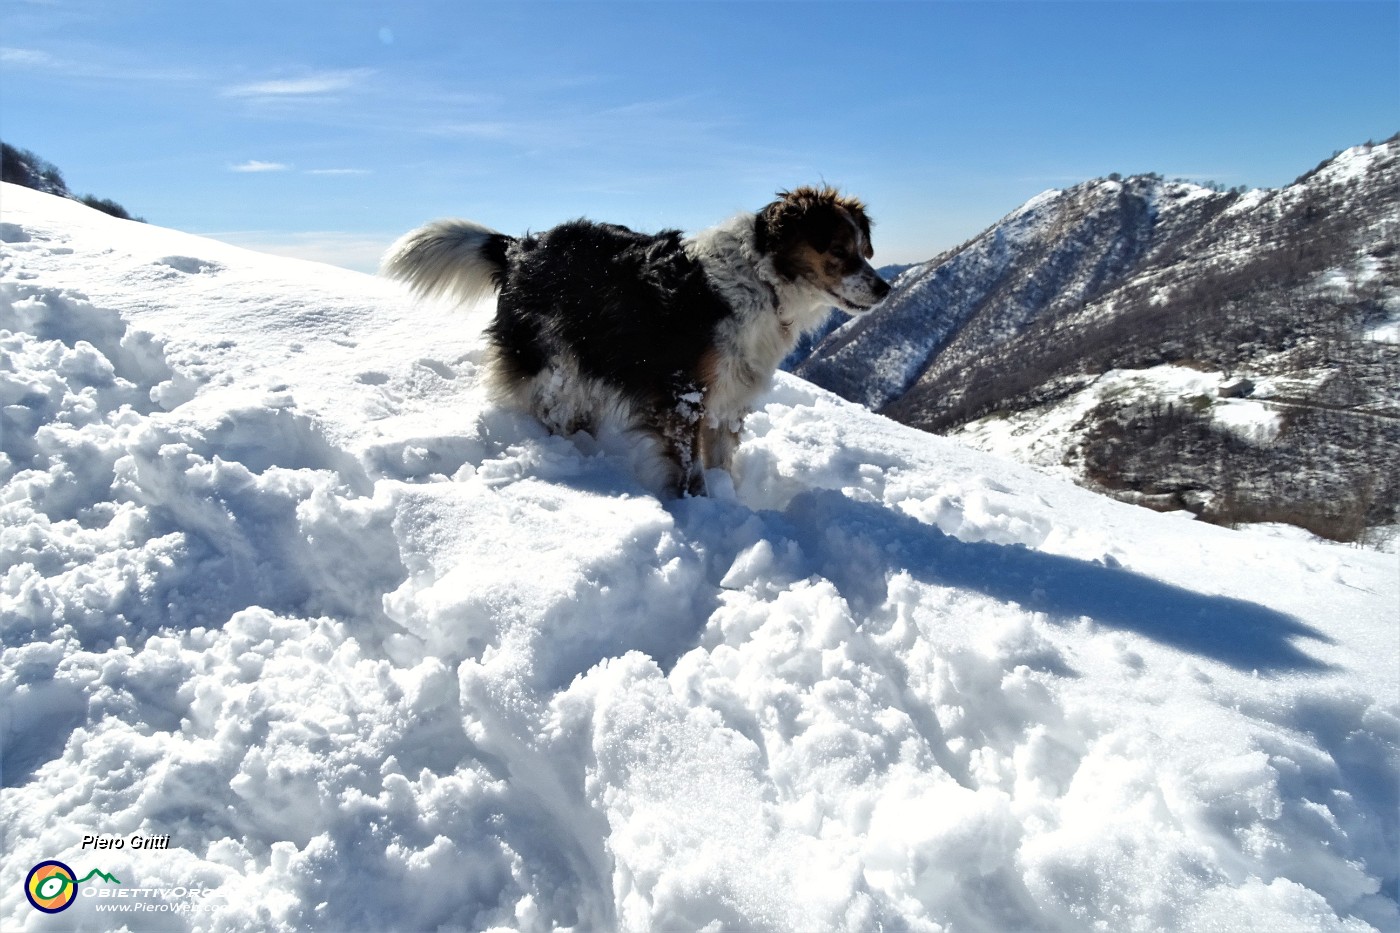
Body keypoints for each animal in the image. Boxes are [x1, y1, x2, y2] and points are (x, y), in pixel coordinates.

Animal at [380, 184, 884, 498]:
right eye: (838, 251)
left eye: (864, 250)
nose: (884, 289)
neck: (762, 280)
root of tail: (521, 248)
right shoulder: (683, 395)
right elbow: (692, 471)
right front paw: (701, 511)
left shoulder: (730, 396)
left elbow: (721, 462)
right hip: (549, 358)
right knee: (546, 407)